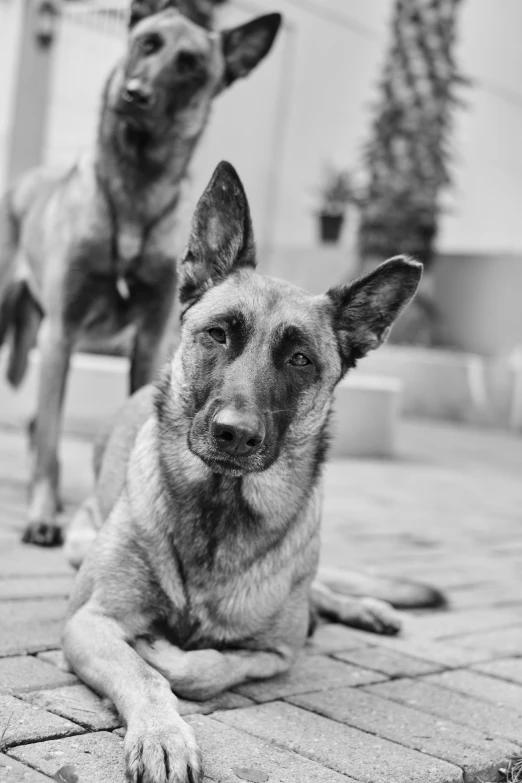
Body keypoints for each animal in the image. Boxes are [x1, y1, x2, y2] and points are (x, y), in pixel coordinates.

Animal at [0, 1, 280, 552]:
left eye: (190, 64)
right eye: (147, 44)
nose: (135, 94)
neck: (134, 190)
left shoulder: (149, 339)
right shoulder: (61, 334)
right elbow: (50, 440)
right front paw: (43, 515)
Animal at [61, 161, 432, 783]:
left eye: (300, 359)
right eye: (219, 333)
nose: (235, 434)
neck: (219, 503)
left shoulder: (277, 653)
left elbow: (201, 667)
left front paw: (171, 657)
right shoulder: (90, 621)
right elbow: (143, 675)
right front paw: (161, 734)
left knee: (318, 589)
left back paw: (366, 607)